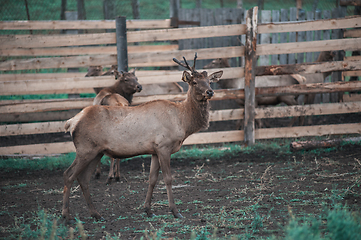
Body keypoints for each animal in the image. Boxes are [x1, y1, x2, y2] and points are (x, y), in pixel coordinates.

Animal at [63, 53, 224, 220]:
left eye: (209, 81)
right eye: (194, 82)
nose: (210, 92)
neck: (182, 122)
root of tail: (71, 122)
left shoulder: (154, 150)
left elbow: (152, 179)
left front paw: (148, 209)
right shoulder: (164, 146)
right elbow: (168, 179)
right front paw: (175, 211)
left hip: (96, 152)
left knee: (83, 178)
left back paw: (96, 214)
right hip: (85, 149)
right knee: (68, 175)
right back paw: (66, 215)